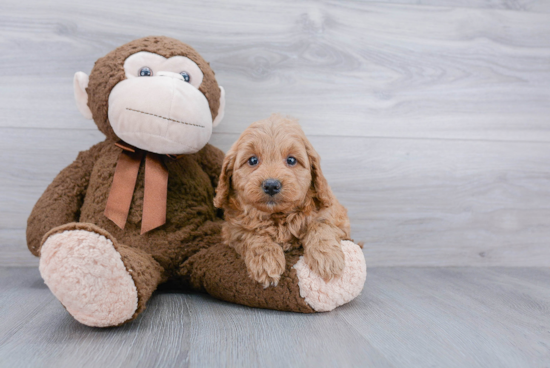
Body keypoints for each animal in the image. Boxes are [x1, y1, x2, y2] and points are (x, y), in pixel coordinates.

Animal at [213, 113, 352, 286]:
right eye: (252, 160)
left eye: (291, 160)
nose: (271, 185)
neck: (279, 216)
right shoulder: (232, 229)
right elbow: (252, 234)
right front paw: (266, 260)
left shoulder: (338, 218)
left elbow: (321, 225)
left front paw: (327, 257)